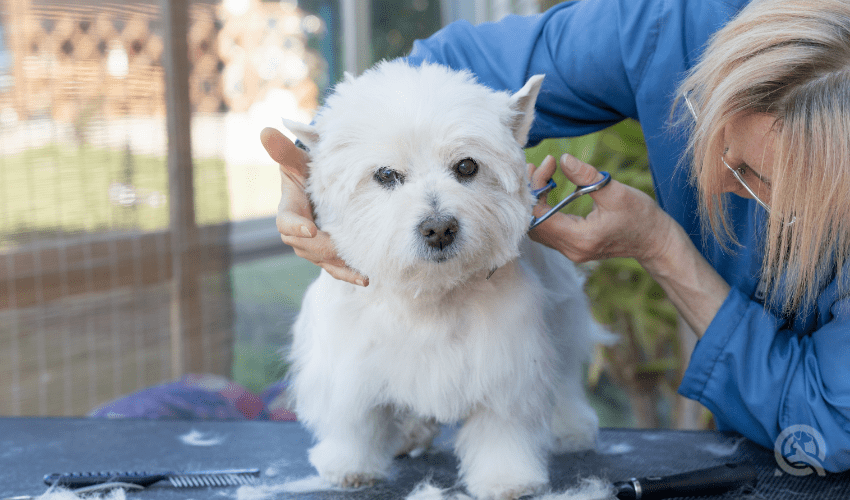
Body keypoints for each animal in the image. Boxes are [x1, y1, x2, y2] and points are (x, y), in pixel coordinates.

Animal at [284, 61, 604, 500]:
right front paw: (350, 466)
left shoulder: (506, 364)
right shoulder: (348, 363)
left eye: (467, 166)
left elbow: (502, 428)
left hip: (563, 319)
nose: (439, 229)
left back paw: (571, 429)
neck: (428, 294)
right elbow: (357, 419)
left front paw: (507, 480)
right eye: (386, 174)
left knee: (567, 377)